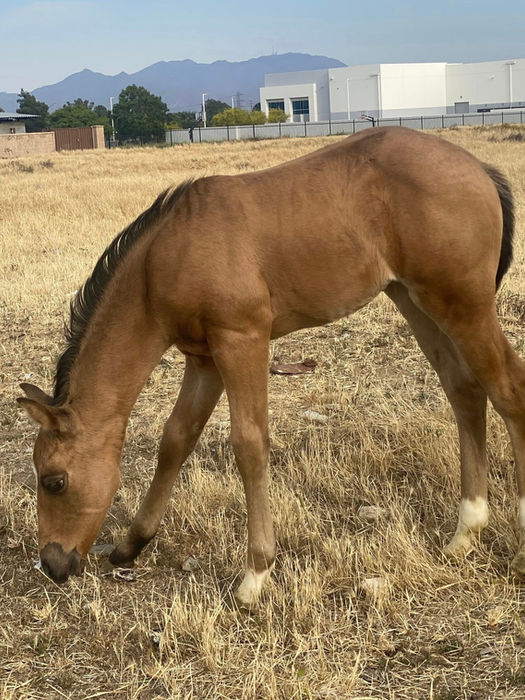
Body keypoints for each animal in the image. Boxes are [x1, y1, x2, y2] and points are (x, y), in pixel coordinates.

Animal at [18, 126, 522, 607]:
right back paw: (466, 531)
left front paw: (255, 574)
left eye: (55, 481)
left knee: (508, 389)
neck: (162, 262)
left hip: (464, 304)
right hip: (415, 300)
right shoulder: (203, 359)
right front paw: (132, 543)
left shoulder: (242, 341)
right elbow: (176, 439)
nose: (54, 564)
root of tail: (478, 167)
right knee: (464, 390)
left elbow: (249, 444)